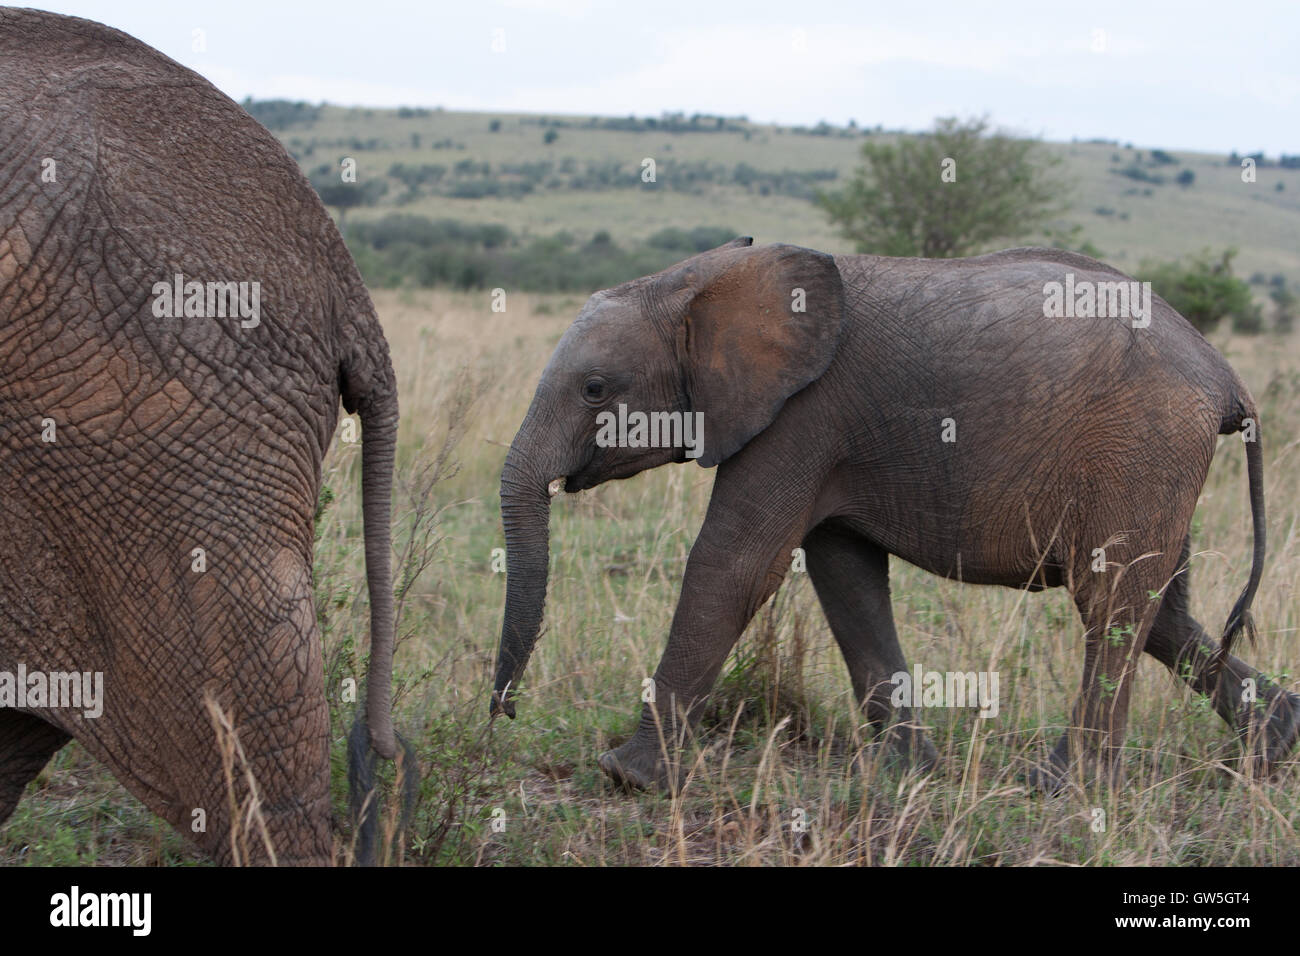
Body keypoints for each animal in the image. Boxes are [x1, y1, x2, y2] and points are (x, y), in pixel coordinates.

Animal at [491, 236, 1300, 793]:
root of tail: (1225, 375)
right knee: (1162, 612)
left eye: (595, 389)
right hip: (1155, 463)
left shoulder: (803, 415)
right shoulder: (825, 435)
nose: (503, 715)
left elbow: (733, 564)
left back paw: (1063, 786)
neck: (701, 278)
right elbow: (845, 577)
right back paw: (1275, 749)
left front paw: (627, 777)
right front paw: (912, 772)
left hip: (1142, 446)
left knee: (1113, 605)